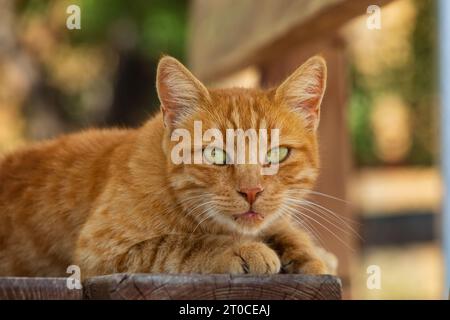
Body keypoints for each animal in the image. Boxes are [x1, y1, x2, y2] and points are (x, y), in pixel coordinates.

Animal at [0, 55, 334, 278]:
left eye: (278, 153)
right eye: (215, 154)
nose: (252, 191)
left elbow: (284, 228)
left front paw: (308, 255)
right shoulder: (99, 250)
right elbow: (180, 244)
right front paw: (241, 248)